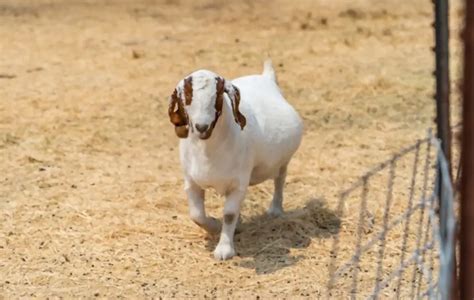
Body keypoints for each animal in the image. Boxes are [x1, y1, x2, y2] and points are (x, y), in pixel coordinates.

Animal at [168, 59, 304, 258]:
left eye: (217, 96)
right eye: (186, 96)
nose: (202, 127)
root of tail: (266, 77)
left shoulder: (239, 183)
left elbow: (229, 214)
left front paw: (224, 250)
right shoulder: (191, 182)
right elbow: (197, 215)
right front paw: (215, 226)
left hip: (283, 161)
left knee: (280, 179)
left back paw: (275, 210)